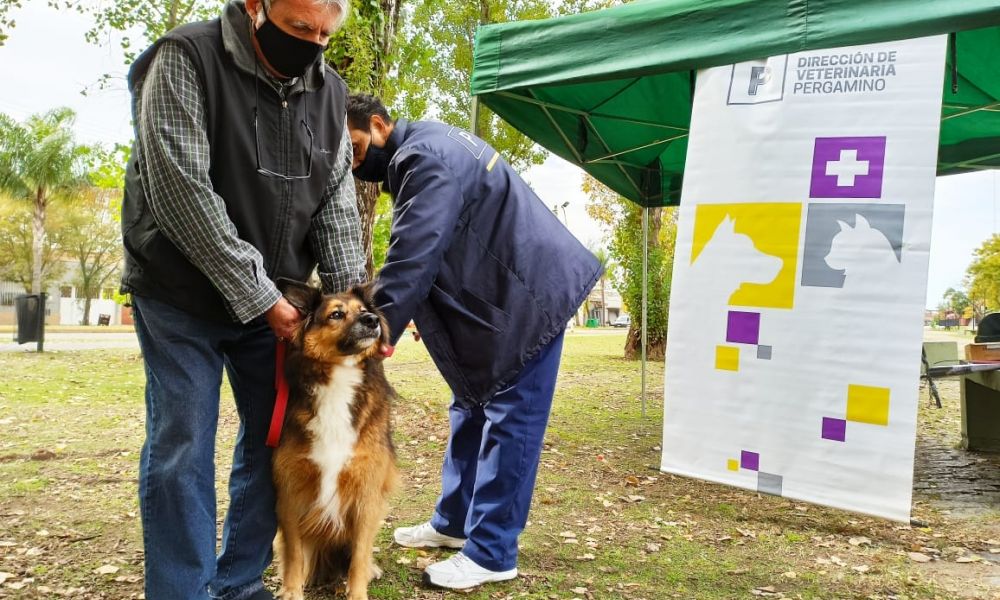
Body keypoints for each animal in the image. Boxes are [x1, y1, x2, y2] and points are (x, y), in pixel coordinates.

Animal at [274, 278, 398, 600]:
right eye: (336, 314)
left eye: (363, 310)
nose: (372, 320)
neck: (340, 378)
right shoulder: (290, 490)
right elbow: (294, 553)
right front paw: (292, 591)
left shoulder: (367, 492)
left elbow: (359, 555)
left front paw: (357, 592)